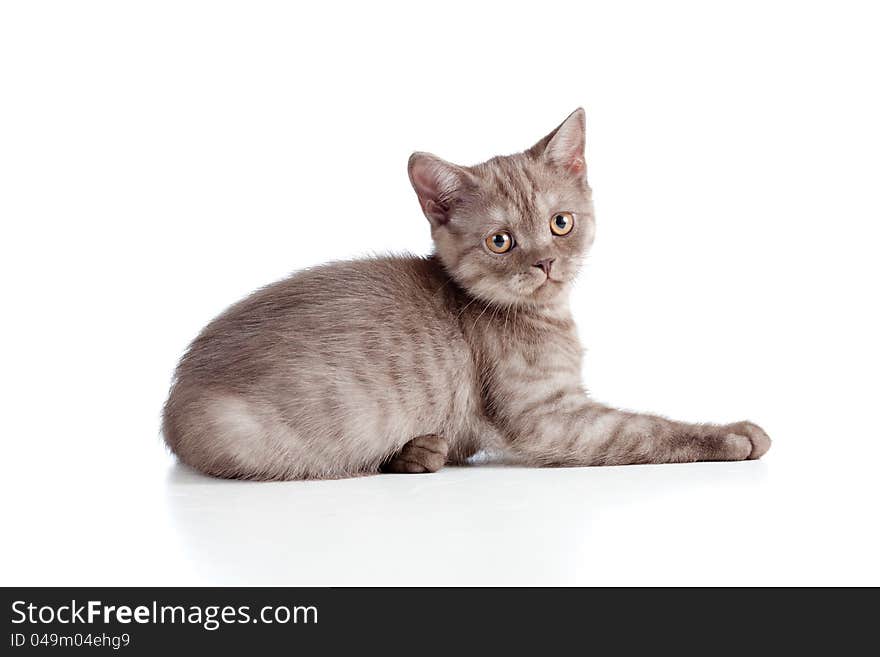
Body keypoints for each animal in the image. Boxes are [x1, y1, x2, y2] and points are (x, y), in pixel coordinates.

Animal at [163, 106, 768, 476]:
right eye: (501, 241)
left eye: (561, 223)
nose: (545, 261)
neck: (547, 316)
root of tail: (174, 397)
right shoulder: (550, 419)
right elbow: (643, 430)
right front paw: (734, 436)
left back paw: (422, 452)